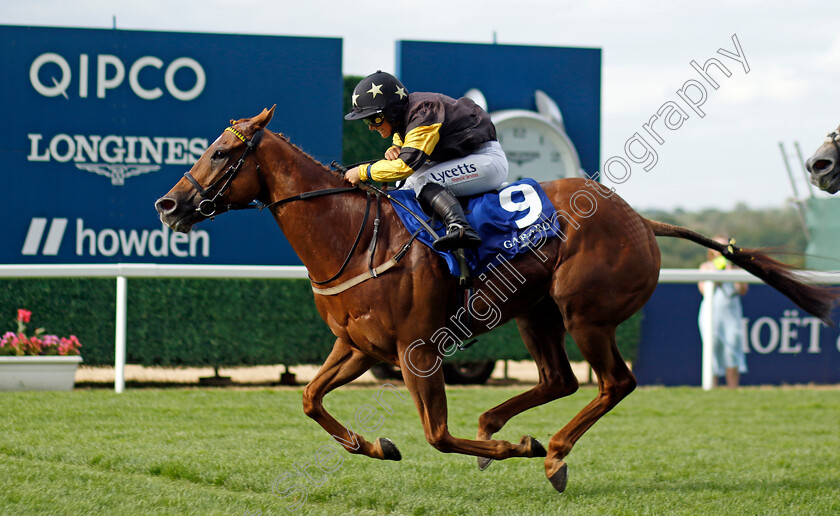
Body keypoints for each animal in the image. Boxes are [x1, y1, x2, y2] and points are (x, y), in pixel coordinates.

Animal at [156, 108, 832, 492]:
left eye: (222, 152)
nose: (169, 205)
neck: (352, 236)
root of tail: (640, 219)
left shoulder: (416, 350)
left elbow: (435, 434)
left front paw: (513, 450)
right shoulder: (357, 345)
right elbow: (308, 398)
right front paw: (374, 445)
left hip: (583, 311)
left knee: (613, 382)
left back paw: (551, 452)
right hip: (536, 311)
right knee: (560, 379)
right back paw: (501, 424)